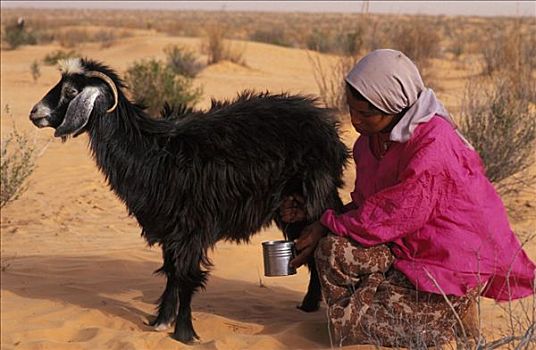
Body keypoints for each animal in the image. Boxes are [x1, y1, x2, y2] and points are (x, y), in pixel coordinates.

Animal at [28, 58, 348, 342]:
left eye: (71, 91)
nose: (35, 114)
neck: (150, 149)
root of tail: (327, 125)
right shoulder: (170, 229)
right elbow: (171, 273)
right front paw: (161, 321)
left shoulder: (191, 228)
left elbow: (186, 278)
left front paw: (183, 332)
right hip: (290, 207)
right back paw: (308, 304)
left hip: (314, 198)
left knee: (318, 243)